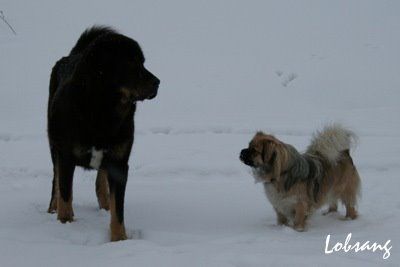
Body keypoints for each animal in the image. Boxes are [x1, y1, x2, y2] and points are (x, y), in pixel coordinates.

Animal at [47, 26, 159, 242]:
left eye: (143, 62)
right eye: (131, 63)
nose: (158, 82)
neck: (103, 110)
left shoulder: (119, 162)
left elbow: (118, 210)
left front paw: (119, 239)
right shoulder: (65, 156)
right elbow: (65, 196)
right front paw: (65, 224)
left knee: (101, 179)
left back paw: (104, 205)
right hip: (53, 145)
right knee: (56, 181)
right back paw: (51, 209)